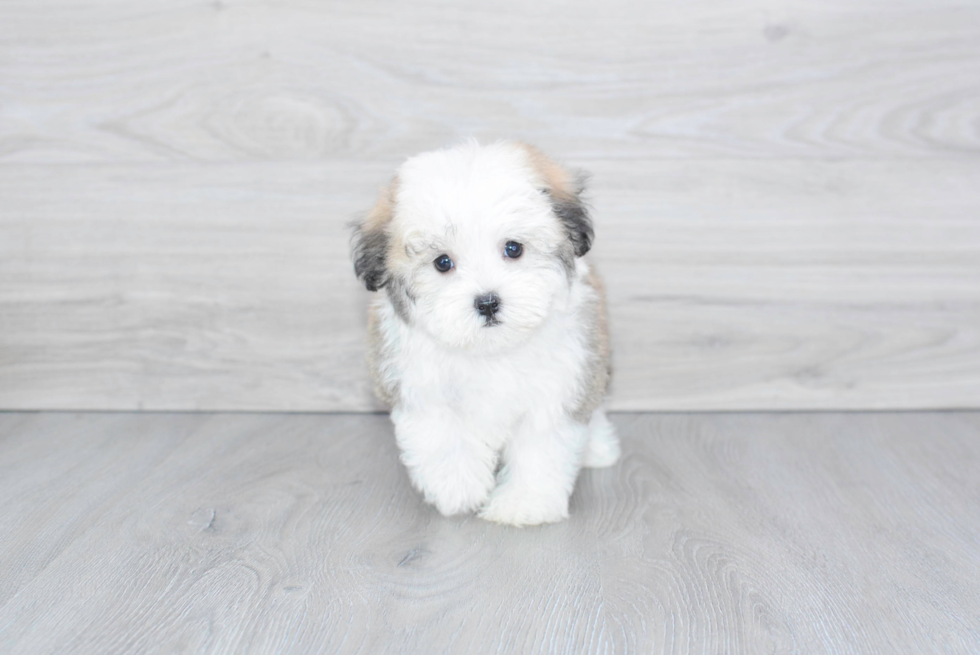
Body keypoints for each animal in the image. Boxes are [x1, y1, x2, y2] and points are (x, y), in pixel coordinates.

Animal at [348, 140, 616, 528]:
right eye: (442, 262)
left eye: (513, 248)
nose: (488, 303)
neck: (490, 350)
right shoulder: (418, 385)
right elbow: (442, 438)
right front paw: (458, 490)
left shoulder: (560, 382)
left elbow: (541, 447)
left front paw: (524, 503)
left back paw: (598, 447)